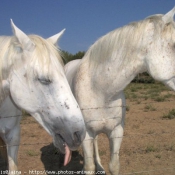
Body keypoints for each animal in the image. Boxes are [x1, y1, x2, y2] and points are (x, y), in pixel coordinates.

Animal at [64, 7, 175, 175]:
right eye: (174, 45)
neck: (101, 92)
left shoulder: (116, 132)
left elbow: (114, 165)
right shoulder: (86, 134)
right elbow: (89, 167)